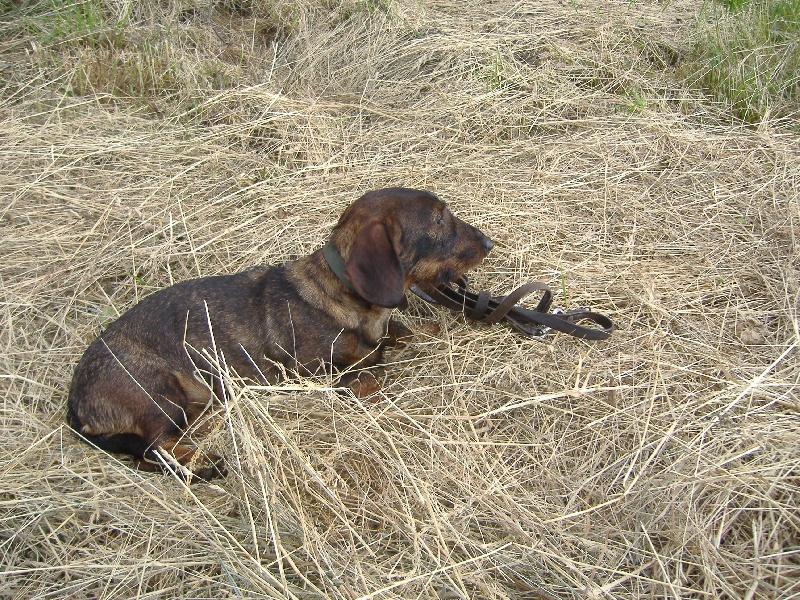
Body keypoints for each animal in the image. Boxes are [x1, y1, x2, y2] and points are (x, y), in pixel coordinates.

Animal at [67, 188, 494, 478]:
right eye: (439, 220)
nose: (489, 242)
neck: (343, 297)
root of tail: (74, 404)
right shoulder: (320, 376)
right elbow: (374, 373)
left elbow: (402, 334)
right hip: (157, 391)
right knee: (154, 449)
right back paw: (204, 460)